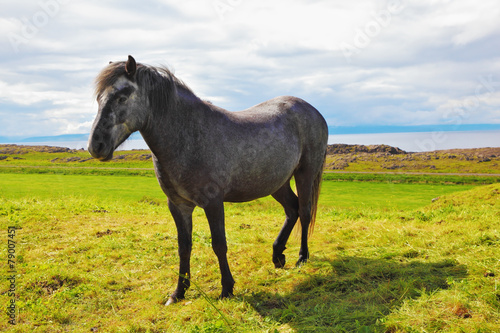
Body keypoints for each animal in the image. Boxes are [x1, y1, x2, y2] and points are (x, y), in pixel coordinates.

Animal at [87, 55, 328, 304]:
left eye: (122, 97)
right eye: (98, 98)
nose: (96, 146)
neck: (189, 136)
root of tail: (313, 111)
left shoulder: (213, 203)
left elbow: (219, 244)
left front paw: (227, 289)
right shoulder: (178, 205)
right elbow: (184, 247)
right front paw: (178, 292)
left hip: (305, 172)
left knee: (304, 212)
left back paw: (301, 258)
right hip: (276, 182)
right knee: (292, 210)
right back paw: (277, 255)